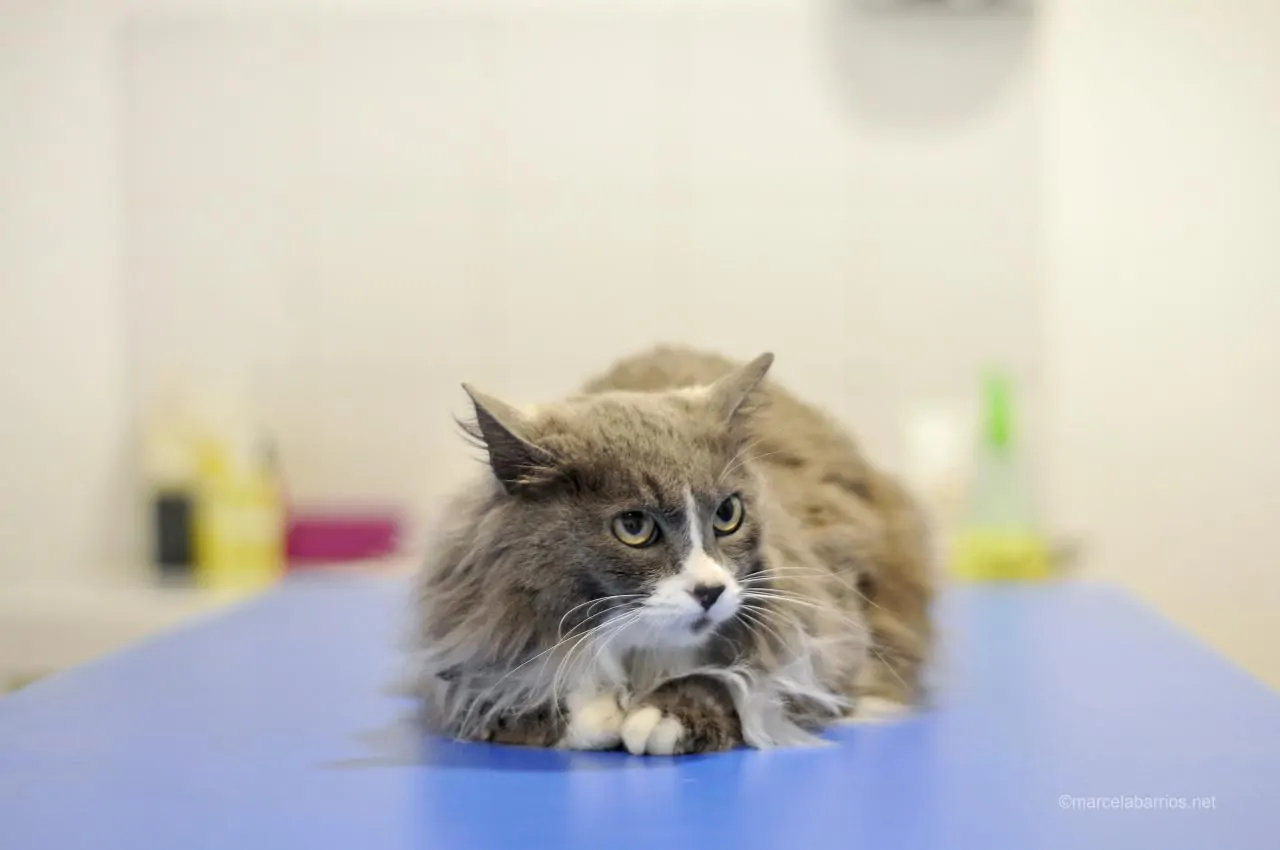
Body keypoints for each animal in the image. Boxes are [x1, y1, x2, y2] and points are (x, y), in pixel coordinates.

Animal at [410, 346, 935, 754]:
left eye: (727, 514)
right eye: (634, 526)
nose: (710, 591)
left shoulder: (822, 644)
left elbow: (740, 681)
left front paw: (662, 717)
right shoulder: (470, 661)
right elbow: (531, 696)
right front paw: (598, 711)